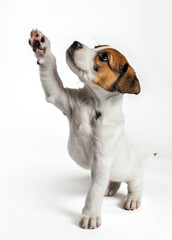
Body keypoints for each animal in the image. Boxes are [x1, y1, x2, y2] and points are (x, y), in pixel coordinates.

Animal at [28, 29, 155, 229]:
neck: (93, 104)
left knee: (135, 187)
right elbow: (50, 72)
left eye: (103, 57)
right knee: (115, 181)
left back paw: (132, 199)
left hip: (134, 175)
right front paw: (42, 46)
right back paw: (111, 188)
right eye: (96, 47)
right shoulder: (59, 97)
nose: (75, 43)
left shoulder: (101, 162)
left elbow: (94, 192)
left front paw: (90, 215)